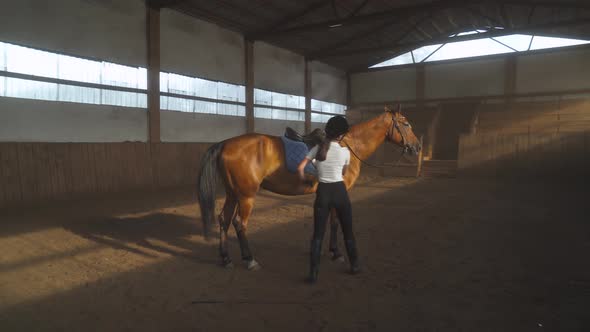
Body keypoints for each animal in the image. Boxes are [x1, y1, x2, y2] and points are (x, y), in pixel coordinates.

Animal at [201, 105, 424, 270]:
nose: (417, 147)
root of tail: (225, 143)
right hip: (246, 195)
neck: (348, 145)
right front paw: (337, 253)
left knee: (224, 220)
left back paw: (226, 259)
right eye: (406, 123)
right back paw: (250, 260)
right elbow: (335, 222)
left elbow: (327, 222)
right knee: (239, 223)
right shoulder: (339, 191)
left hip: (233, 194)